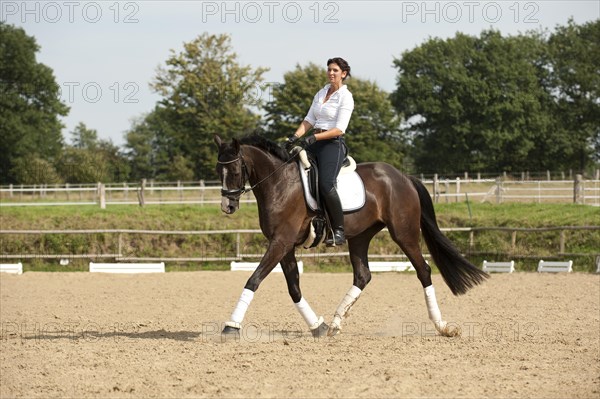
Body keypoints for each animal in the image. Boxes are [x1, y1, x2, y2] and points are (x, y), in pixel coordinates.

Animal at [216, 134, 488, 338]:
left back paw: (442, 326)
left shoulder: (281, 242)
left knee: (424, 271)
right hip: (360, 237)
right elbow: (294, 288)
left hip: (404, 233)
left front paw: (231, 326)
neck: (279, 183)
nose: (227, 206)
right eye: (218, 170)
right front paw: (318, 327)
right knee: (363, 276)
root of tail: (403, 177)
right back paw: (336, 323)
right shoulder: (285, 245)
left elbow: (254, 279)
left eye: (235, 169)